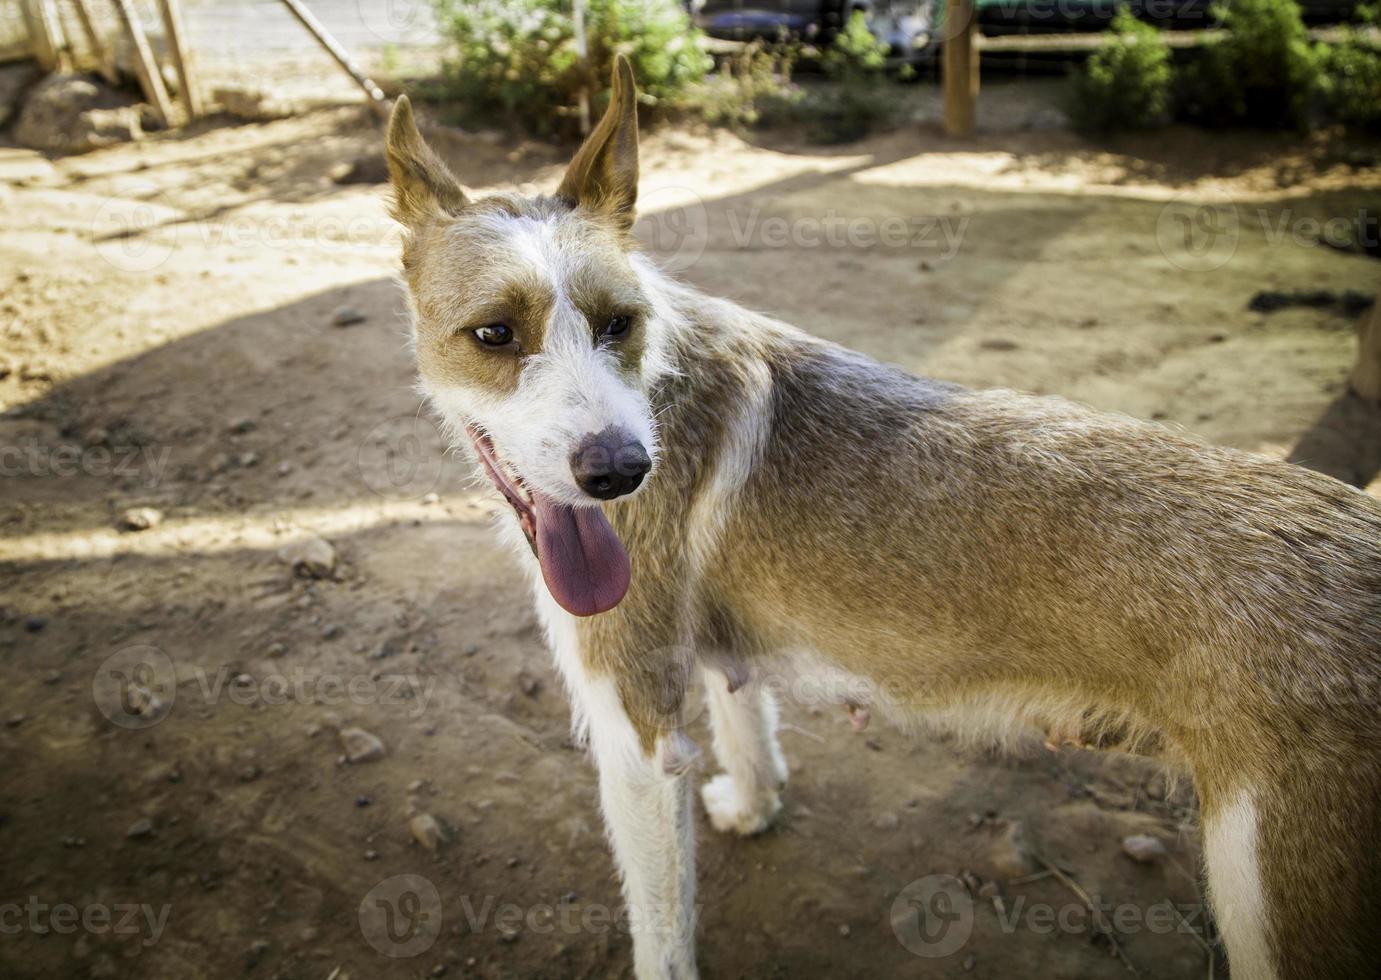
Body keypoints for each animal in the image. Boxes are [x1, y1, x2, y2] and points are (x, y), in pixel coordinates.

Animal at [383, 61, 1381, 980]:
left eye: (617, 322)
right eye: (494, 335)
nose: (623, 472)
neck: (659, 386)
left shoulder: (634, 737)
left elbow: (659, 933)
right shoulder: (710, 654)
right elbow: (749, 728)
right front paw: (753, 808)